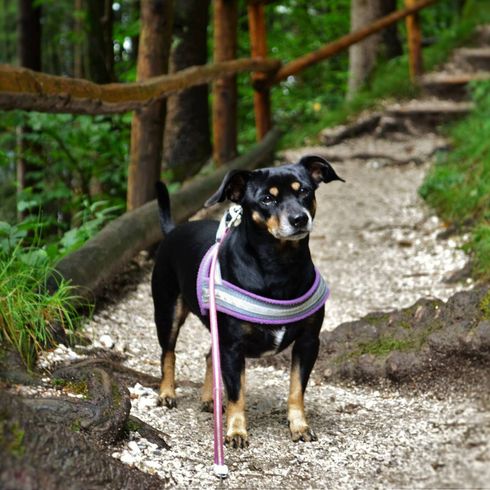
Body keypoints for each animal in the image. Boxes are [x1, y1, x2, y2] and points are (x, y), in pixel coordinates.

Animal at [151, 155, 342, 446]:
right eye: (267, 199)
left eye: (304, 191)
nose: (299, 219)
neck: (280, 265)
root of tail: (173, 231)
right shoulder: (233, 346)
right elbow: (236, 393)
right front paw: (236, 431)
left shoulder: (308, 342)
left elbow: (297, 389)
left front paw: (299, 426)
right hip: (167, 310)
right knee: (168, 353)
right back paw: (167, 394)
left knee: (209, 355)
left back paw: (209, 399)